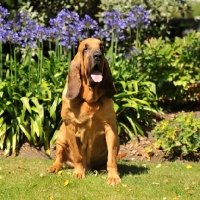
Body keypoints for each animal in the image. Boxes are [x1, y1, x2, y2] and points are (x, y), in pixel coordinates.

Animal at [47, 37, 121, 184]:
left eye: (101, 47)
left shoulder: (110, 127)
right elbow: (77, 155)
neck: (89, 101)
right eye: (85, 48)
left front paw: (114, 176)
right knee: (59, 157)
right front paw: (78, 172)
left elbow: (111, 158)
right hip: (60, 138)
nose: (98, 55)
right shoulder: (70, 127)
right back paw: (55, 167)